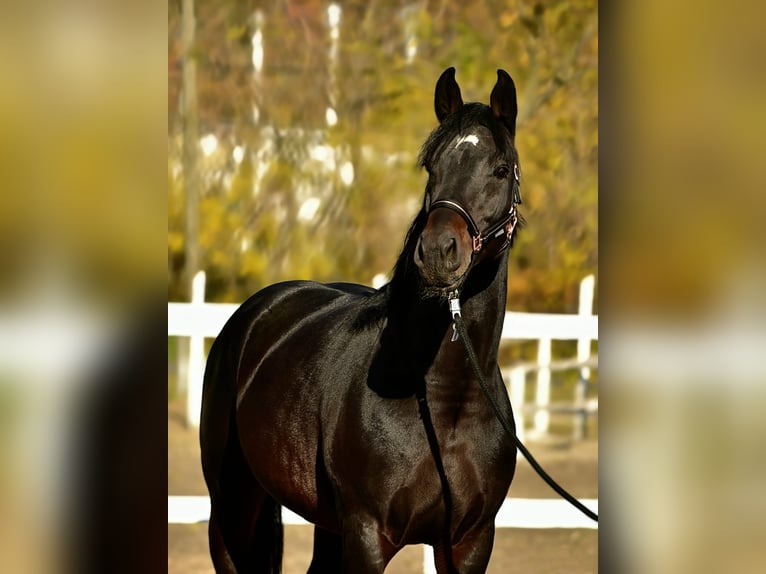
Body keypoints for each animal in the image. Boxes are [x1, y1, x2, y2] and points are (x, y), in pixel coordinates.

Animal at [200, 66, 524, 574]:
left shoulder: (470, 543)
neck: (443, 400)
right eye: (431, 167)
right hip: (232, 509)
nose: (439, 251)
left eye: (501, 169)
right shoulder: (368, 537)